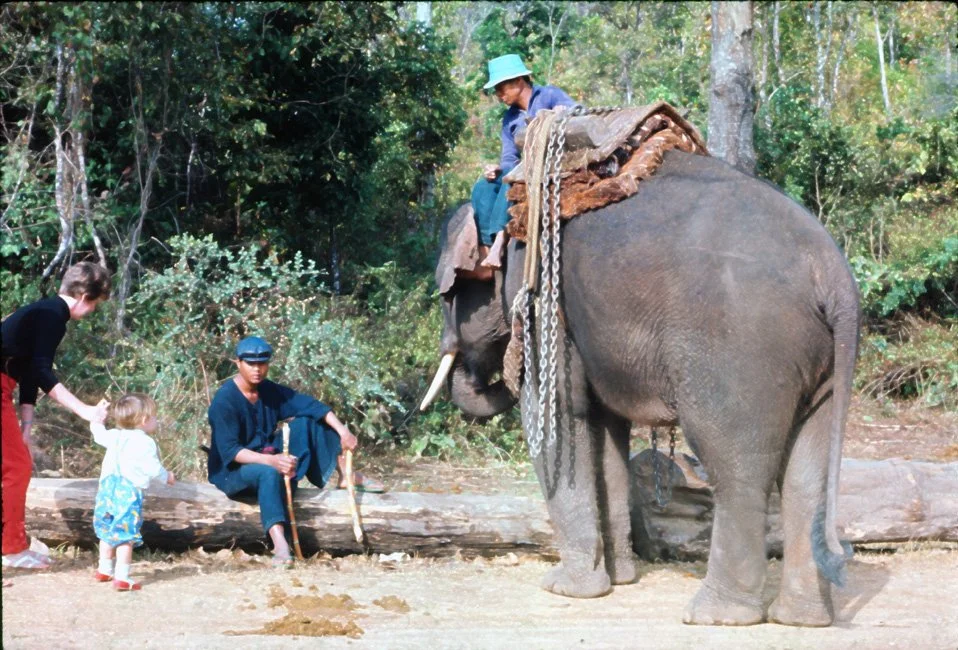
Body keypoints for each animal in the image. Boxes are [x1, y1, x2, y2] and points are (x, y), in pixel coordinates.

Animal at [422, 149, 861, 627]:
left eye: (447, 296)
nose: (481, 366)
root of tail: (832, 276)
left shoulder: (542, 295)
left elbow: (558, 411)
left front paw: (566, 588)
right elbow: (604, 430)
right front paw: (619, 579)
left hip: (741, 352)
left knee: (735, 467)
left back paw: (715, 615)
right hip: (821, 362)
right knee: (807, 473)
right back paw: (800, 618)